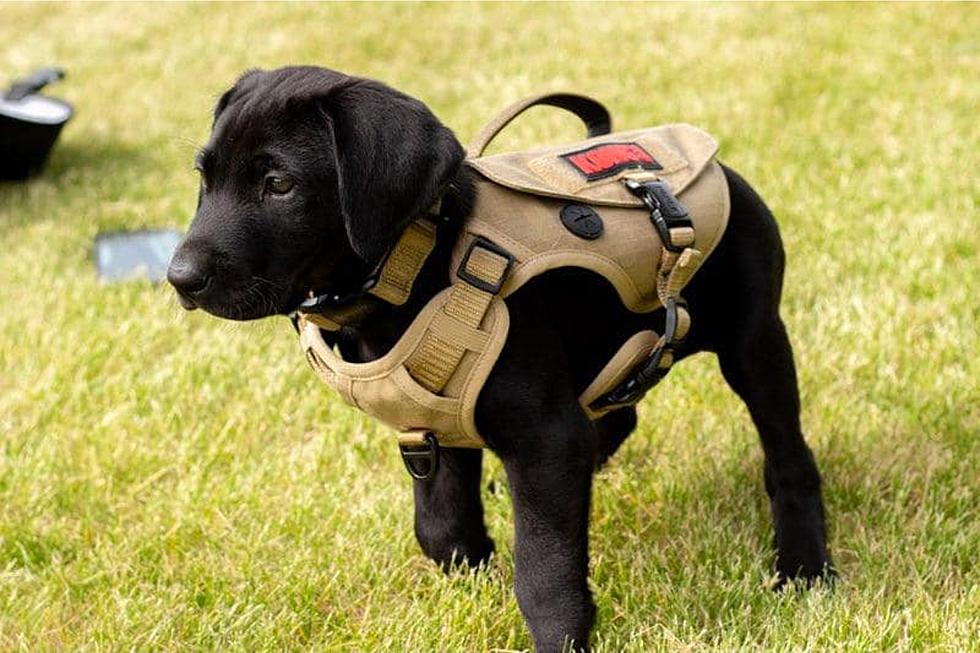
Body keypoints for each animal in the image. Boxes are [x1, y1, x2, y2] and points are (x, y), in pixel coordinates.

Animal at [168, 66, 836, 652]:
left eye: (279, 185)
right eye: (204, 178)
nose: (180, 279)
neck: (419, 265)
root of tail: (720, 166)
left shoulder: (546, 436)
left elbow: (544, 569)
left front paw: (562, 636)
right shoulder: (437, 427)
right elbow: (440, 529)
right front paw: (474, 574)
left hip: (754, 341)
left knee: (788, 456)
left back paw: (804, 568)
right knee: (619, 416)